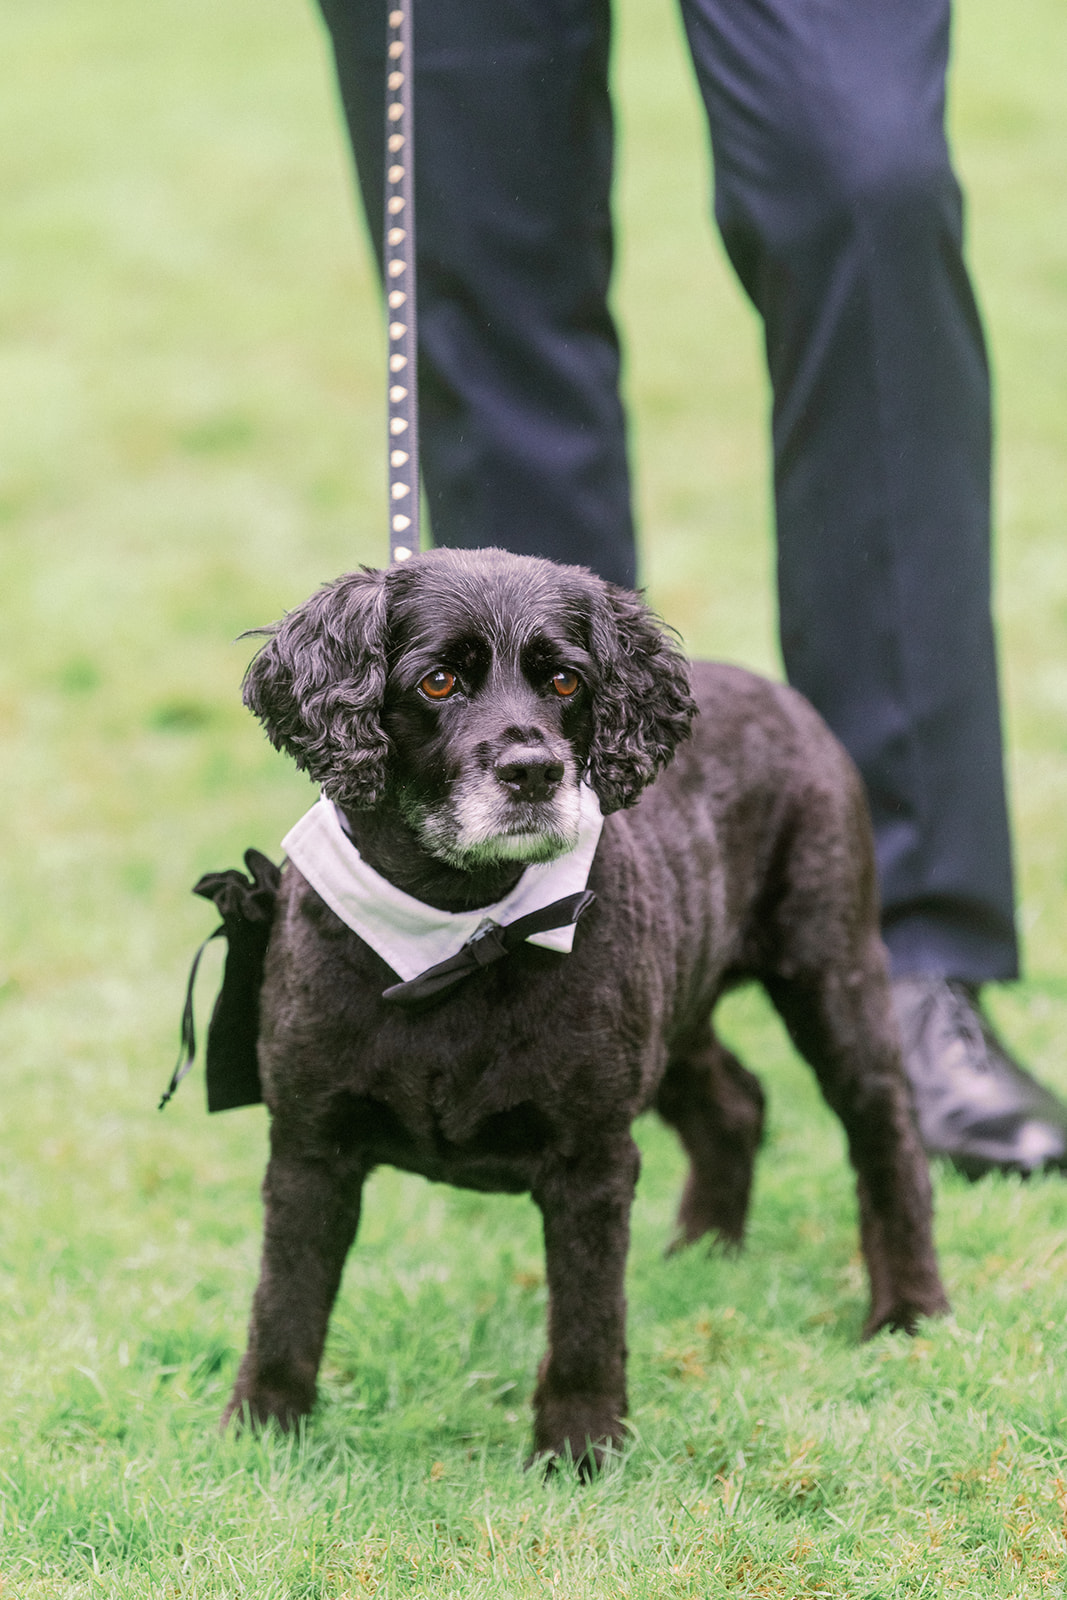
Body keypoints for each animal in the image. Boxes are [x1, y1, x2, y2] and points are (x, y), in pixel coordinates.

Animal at [225, 546, 947, 1468]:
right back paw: (700, 1254)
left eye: (565, 681)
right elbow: (285, 1300)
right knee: (736, 1103)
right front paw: (263, 1428)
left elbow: (586, 1315)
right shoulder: (309, 1144)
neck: (461, 931)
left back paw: (908, 1310)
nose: (532, 770)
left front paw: (579, 1444)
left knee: (885, 1129)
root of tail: (778, 693)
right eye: (436, 682)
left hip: (832, 973)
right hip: (678, 1013)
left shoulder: (591, 1156)